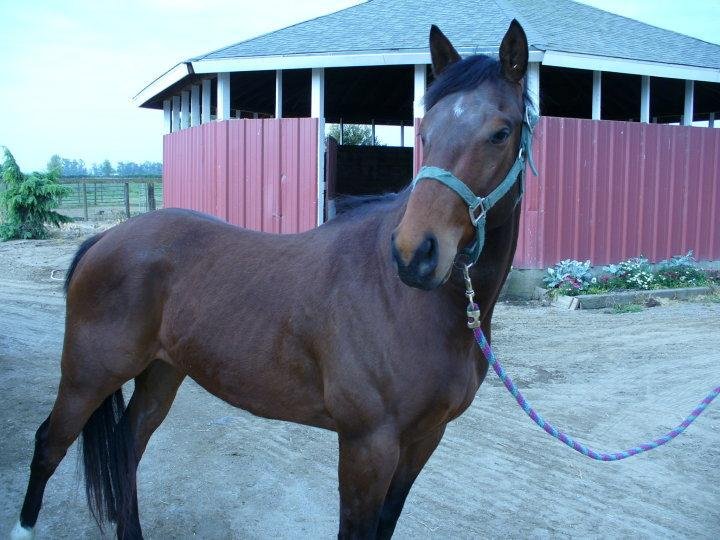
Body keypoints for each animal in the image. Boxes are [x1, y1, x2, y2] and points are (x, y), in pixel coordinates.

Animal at [12, 20, 533, 540]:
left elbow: (385, 522)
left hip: (161, 372)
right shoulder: (367, 445)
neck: (412, 306)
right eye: (426, 131)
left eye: (501, 133)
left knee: (127, 447)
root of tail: (105, 238)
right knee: (48, 444)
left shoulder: (425, 439)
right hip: (87, 376)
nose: (414, 254)